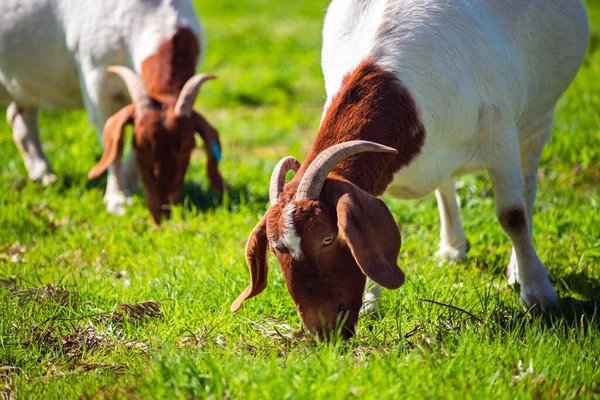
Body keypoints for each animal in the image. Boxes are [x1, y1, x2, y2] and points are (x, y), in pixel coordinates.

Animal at [0, 0, 225, 222]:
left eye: (189, 147)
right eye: (142, 147)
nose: (162, 212)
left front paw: (130, 186)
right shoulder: (96, 82)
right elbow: (115, 142)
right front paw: (118, 200)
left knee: (20, 114)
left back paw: (43, 174)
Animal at [232, 0, 588, 338]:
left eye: (328, 239)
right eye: (275, 250)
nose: (324, 331)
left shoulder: (501, 141)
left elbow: (512, 216)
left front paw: (539, 294)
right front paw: (372, 301)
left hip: (537, 120)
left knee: (527, 186)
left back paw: (518, 270)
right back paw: (452, 247)